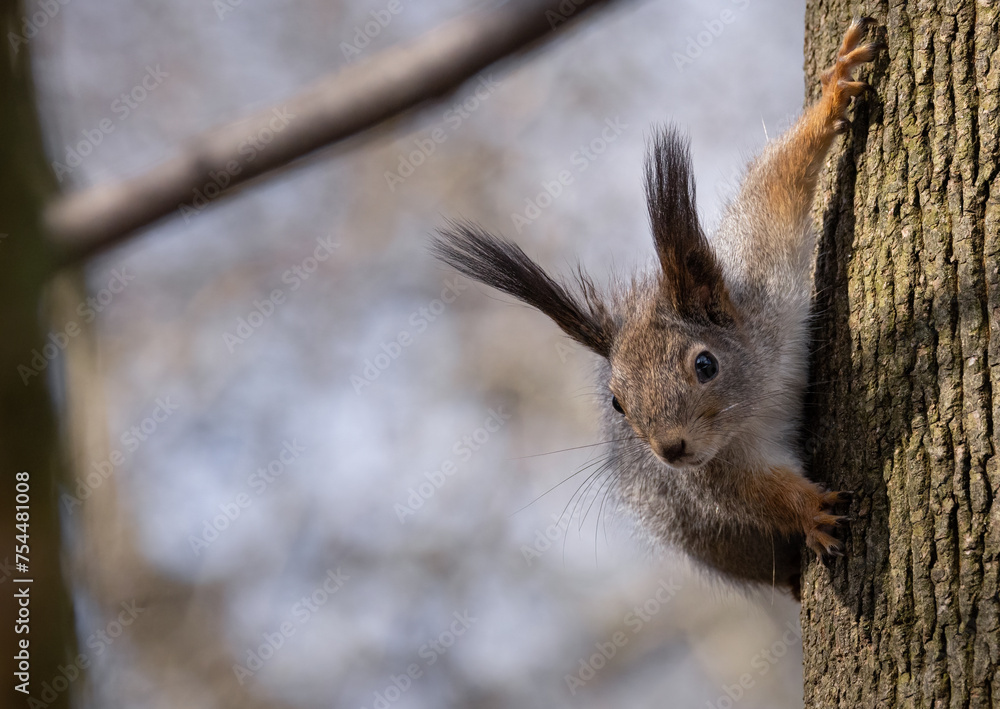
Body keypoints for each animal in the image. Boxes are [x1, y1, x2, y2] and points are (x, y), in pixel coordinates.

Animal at [433, 19, 884, 598]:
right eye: (617, 404)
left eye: (706, 365)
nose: (670, 450)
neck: (755, 404)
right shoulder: (714, 472)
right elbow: (757, 495)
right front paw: (811, 512)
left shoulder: (764, 270)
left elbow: (779, 182)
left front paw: (835, 91)